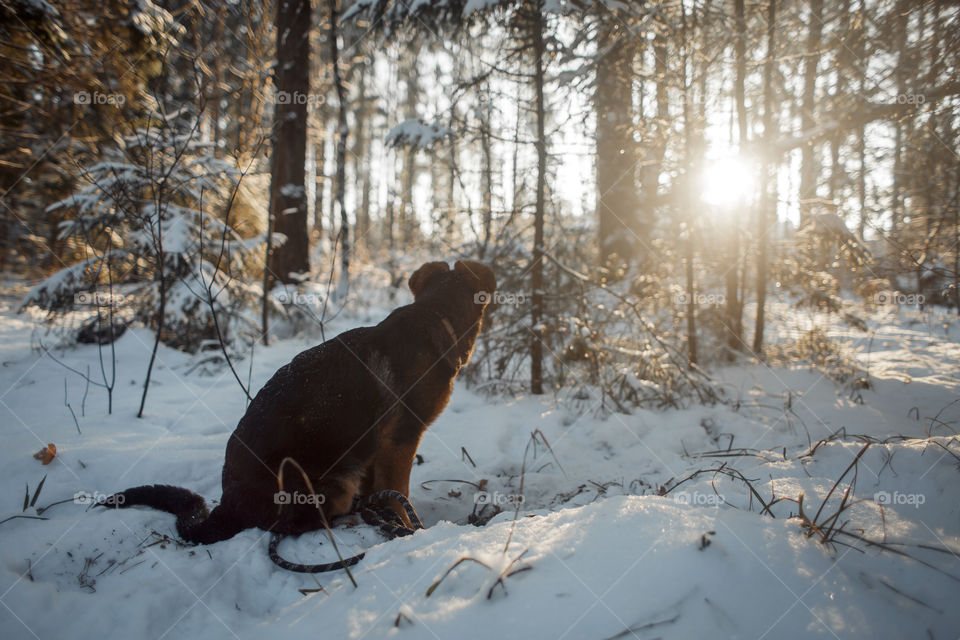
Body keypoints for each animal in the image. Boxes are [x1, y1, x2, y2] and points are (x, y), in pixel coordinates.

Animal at [103, 260, 496, 556]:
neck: (435, 317)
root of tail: (227, 506)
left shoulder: (375, 447)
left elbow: (382, 492)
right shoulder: (400, 441)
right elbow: (399, 494)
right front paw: (408, 527)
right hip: (333, 480)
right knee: (296, 525)